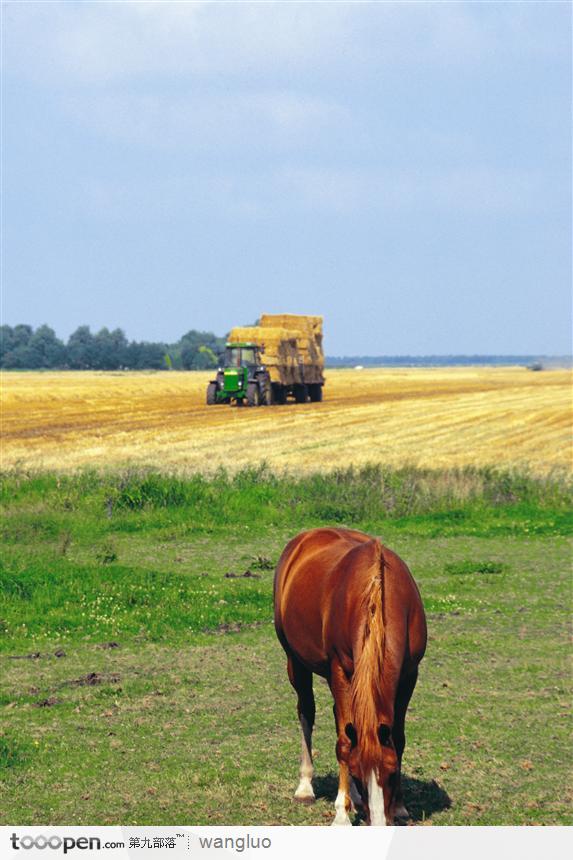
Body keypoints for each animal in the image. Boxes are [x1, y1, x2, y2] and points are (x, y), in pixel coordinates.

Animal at [272, 528, 424, 824]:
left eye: (391, 774)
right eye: (356, 773)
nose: (378, 822)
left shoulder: (410, 674)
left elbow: (398, 739)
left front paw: (400, 806)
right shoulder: (339, 670)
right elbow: (343, 743)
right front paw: (341, 814)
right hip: (295, 662)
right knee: (307, 711)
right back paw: (306, 787)